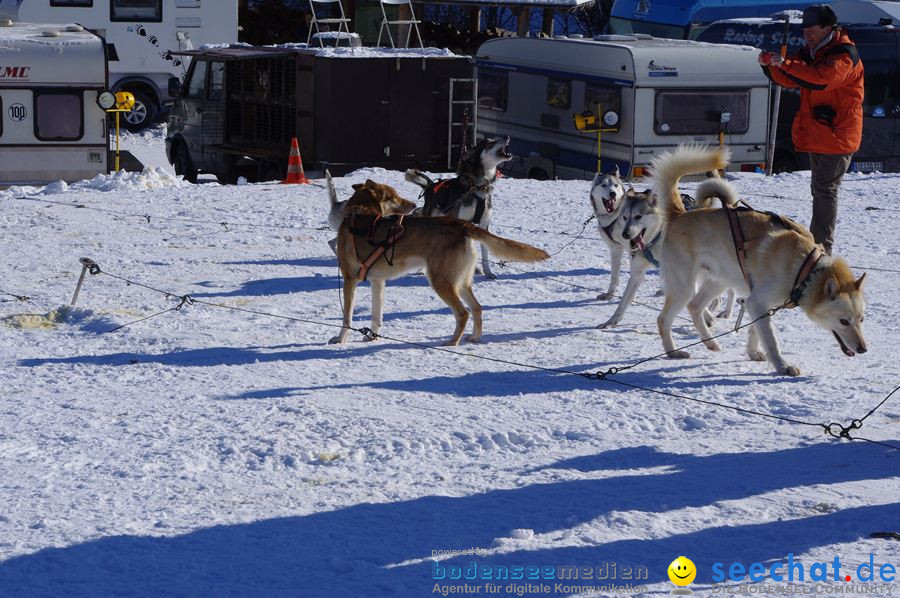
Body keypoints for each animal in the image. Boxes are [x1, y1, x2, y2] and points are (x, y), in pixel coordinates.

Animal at [328, 178, 548, 346]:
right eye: (394, 196)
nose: (413, 205)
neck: (360, 214)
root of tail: (462, 225)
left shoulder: (349, 280)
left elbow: (347, 317)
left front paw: (340, 340)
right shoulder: (378, 282)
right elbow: (376, 315)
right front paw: (372, 337)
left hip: (440, 281)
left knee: (463, 313)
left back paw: (452, 342)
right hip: (461, 282)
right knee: (477, 308)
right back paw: (474, 337)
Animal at [652, 146, 868, 378]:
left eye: (861, 319)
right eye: (844, 321)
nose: (863, 349)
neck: (806, 269)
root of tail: (678, 214)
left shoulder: (758, 303)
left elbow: (756, 331)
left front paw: (753, 352)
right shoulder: (757, 302)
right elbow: (771, 340)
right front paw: (782, 366)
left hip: (718, 282)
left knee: (694, 307)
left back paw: (710, 343)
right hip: (684, 287)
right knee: (664, 319)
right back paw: (673, 352)